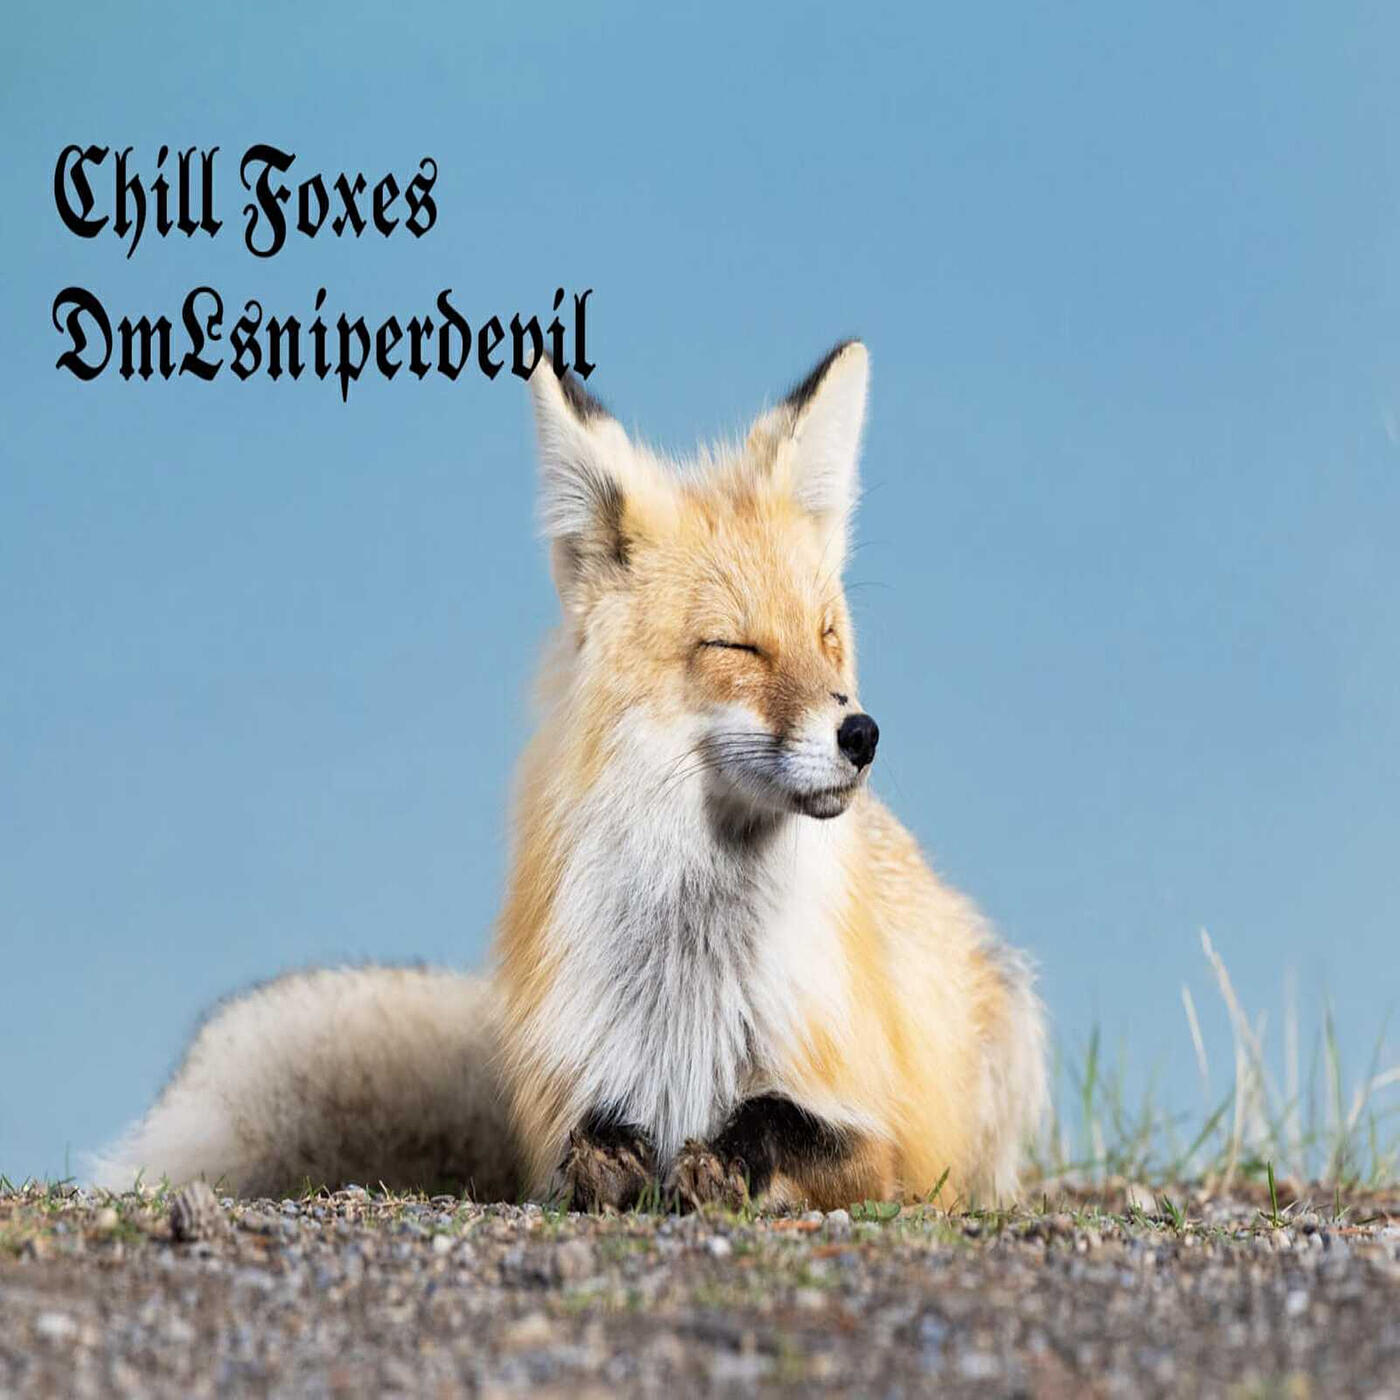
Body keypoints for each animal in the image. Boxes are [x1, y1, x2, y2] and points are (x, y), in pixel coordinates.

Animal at [93, 341, 1046, 1211]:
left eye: (827, 637)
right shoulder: (570, 1094)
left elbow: (782, 1122)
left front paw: (723, 1162)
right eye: (735, 646)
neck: (690, 973)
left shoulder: (889, 1145)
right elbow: (580, 1149)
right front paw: (616, 1162)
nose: (862, 734)